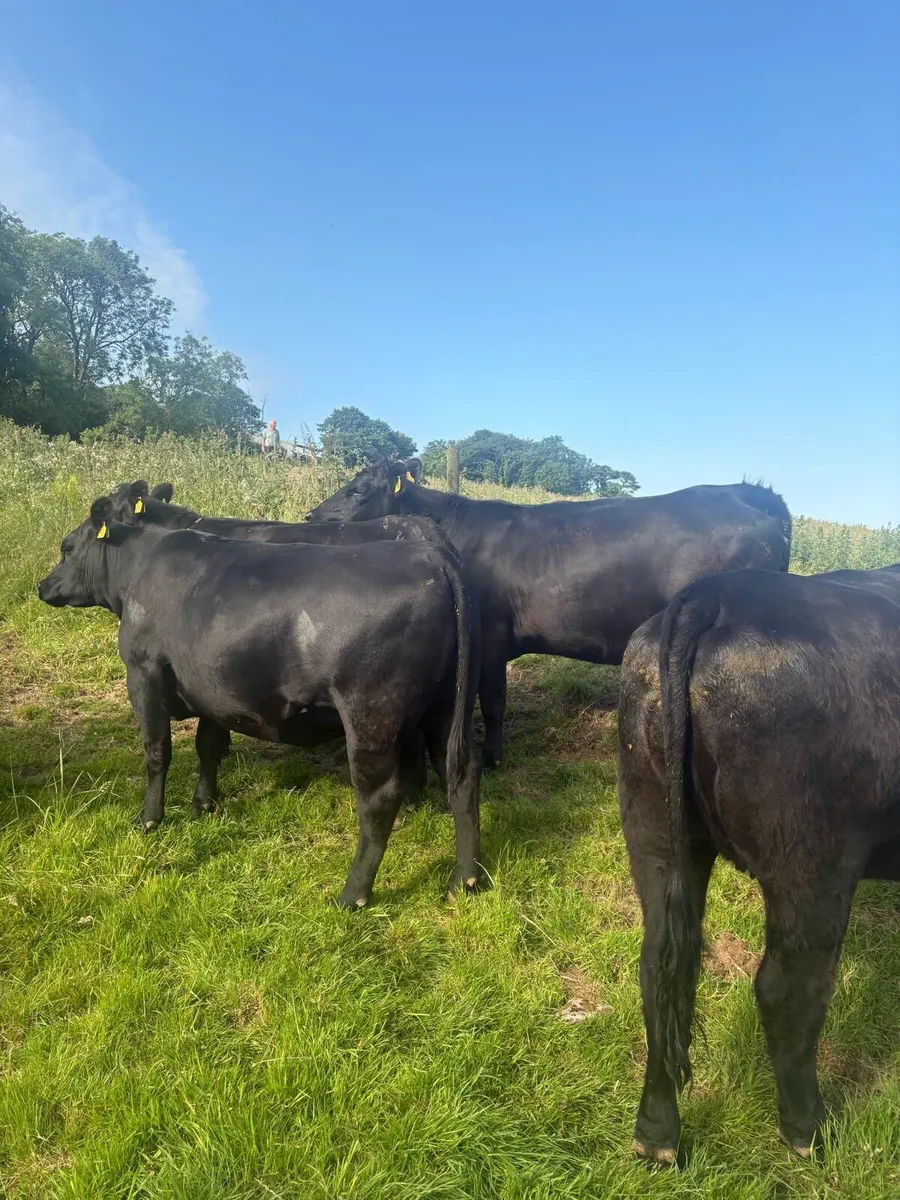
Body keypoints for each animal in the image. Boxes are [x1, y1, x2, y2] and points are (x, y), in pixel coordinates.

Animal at [37, 488, 484, 909]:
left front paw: (149, 819)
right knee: (460, 776)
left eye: (67, 548)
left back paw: (353, 893)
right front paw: (205, 802)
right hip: (444, 709)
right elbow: (207, 744)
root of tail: (430, 556)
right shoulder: (212, 685)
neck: (139, 568)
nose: (42, 586)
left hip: (371, 714)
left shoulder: (143, 674)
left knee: (379, 798)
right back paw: (464, 881)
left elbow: (157, 752)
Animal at [306, 458, 793, 768]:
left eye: (358, 490)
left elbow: (494, 702)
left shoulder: (491, 638)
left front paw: (492, 757)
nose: (311, 516)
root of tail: (747, 494)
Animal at [617, 565, 900, 1164]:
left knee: (659, 968)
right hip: (812, 862)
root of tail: (719, 591)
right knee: (787, 990)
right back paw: (808, 1130)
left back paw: (656, 1134)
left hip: (653, 826)